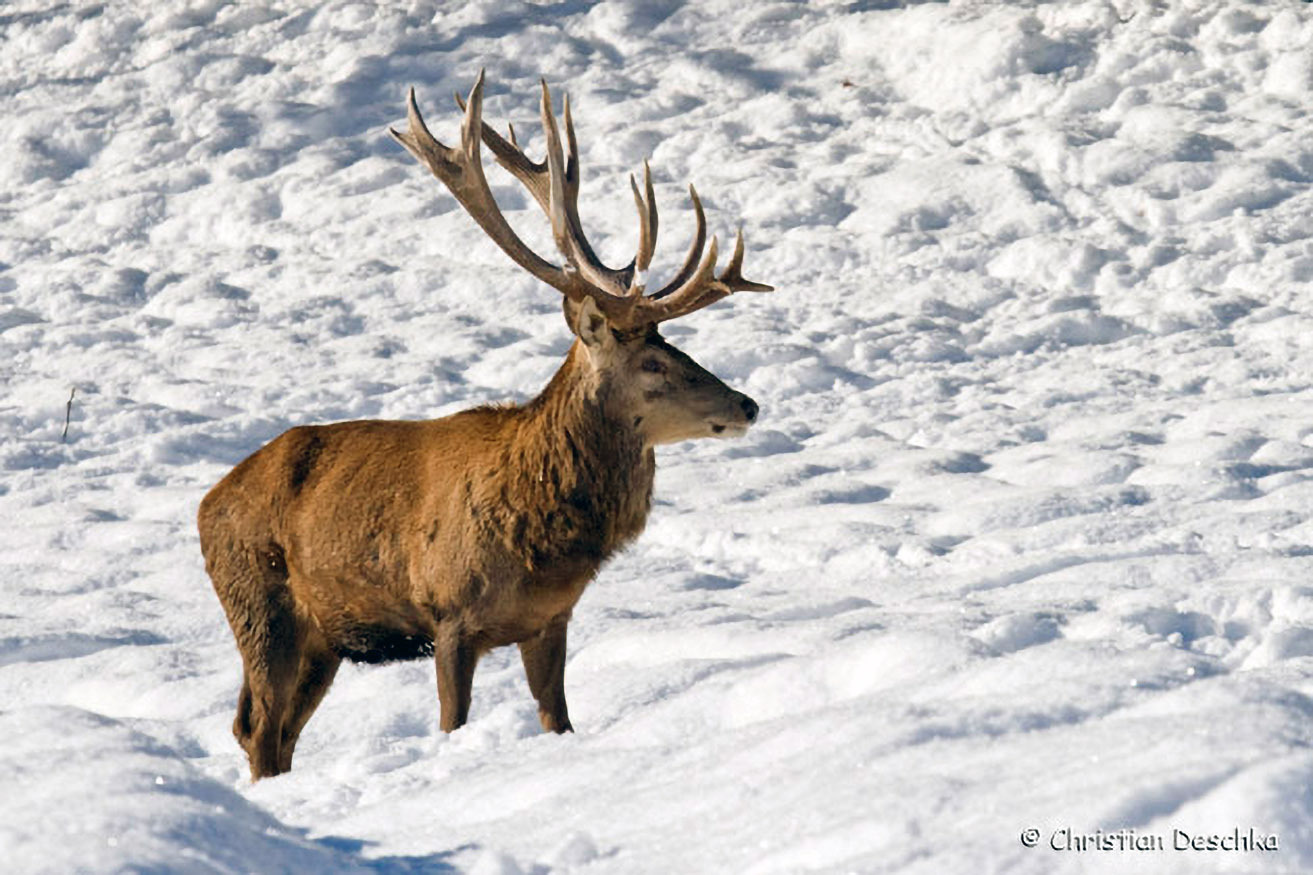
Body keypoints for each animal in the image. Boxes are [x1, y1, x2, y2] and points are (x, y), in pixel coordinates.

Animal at [197, 71, 771, 780]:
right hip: (260, 606)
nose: (746, 405)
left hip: (323, 638)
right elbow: (453, 723)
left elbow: (559, 719)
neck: (543, 531)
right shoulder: (450, 613)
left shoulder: (550, 618)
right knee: (259, 726)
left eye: (679, 348)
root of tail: (206, 504)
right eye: (655, 362)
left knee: (269, 729)